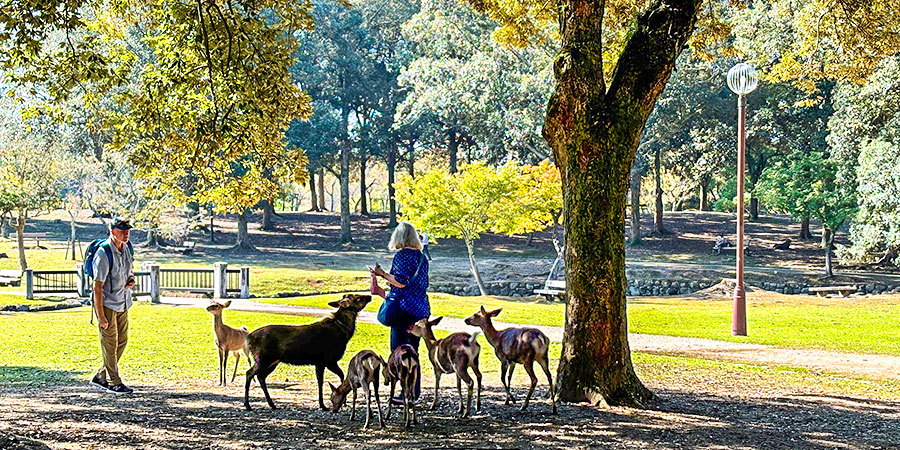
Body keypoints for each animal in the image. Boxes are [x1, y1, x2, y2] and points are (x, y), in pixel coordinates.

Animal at [241, 294, 370, 410]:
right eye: (358, 298)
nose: (369, 296)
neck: (345, 333)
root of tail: (249, 338)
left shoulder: (321, 362)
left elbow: (331, 378)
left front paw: (337, 403)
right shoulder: (327, 360)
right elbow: (332, 378)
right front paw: (327, 404)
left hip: (273, 361)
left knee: (260, 376)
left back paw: (271, 404)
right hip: (263, 358)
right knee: (249, 373)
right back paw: (248, 405)